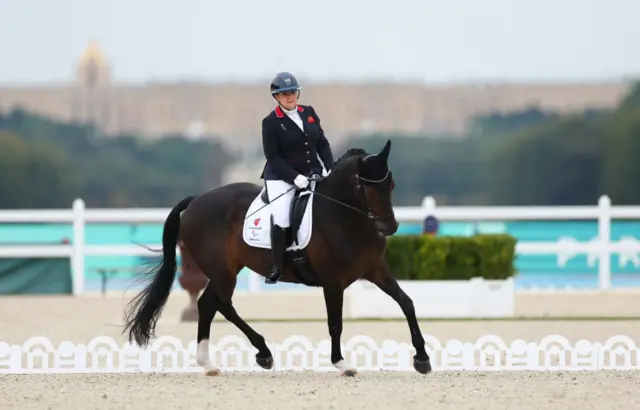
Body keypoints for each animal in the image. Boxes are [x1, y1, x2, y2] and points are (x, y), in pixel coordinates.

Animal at [121, 140, 430, 378]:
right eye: (366, 188)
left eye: (391, 184)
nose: (390, 227)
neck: (346, 217)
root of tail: (197, 199)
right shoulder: (333, 281)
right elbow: (335, 322)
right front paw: (342, 365)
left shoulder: (375, 269)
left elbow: (407, 303)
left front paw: (422, 359)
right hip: (223, 271)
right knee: (220, 304)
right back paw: (260, 353)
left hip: (227, 269)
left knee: (209, 304)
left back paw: (213, 363)